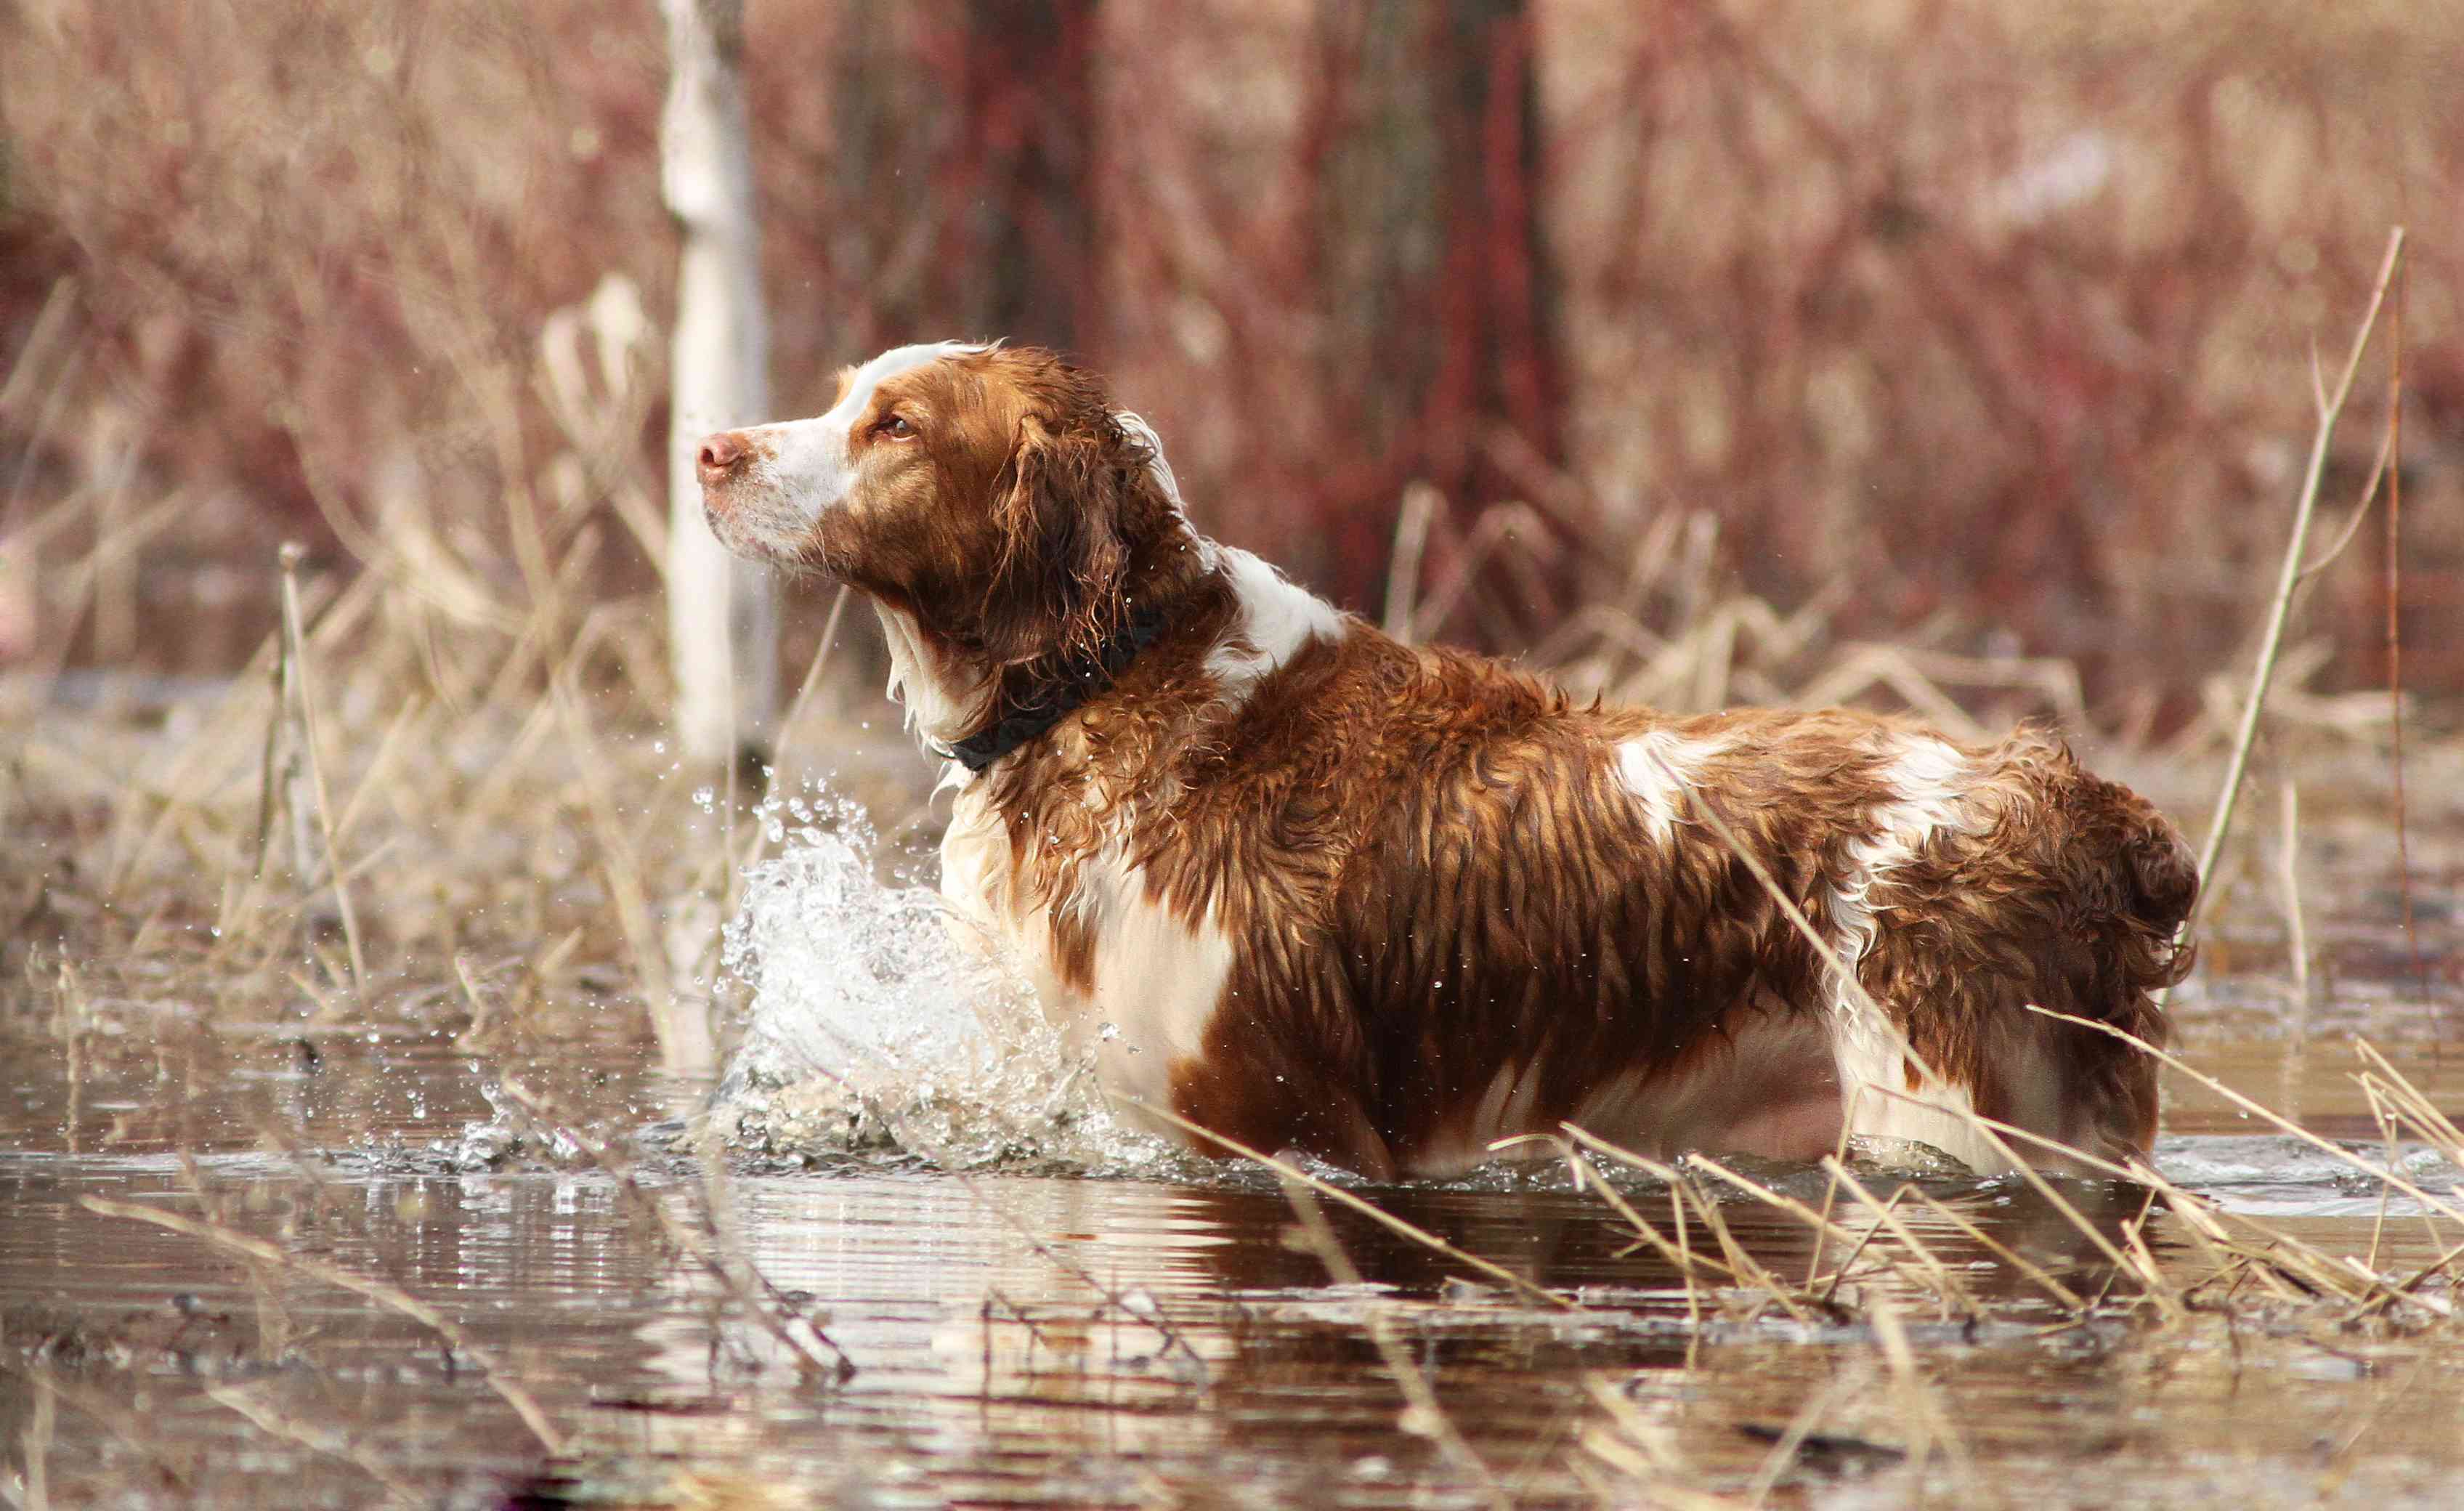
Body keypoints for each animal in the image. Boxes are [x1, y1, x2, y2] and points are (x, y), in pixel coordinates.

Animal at [694, 342, 2197, 1178]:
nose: (706, 447)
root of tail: (2083, 805)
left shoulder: (1275, 1123)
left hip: (1951, 1109)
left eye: (895, 425)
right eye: (840, 398)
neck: (1109, 682)